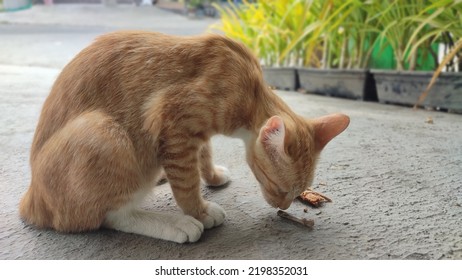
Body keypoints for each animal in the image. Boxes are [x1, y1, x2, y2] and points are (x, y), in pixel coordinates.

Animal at [19, 30, 350, 241]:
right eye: (278, 187)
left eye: (298, 193)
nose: (282, 207)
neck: (251, 89)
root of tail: (31, 201)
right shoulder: (175, 127)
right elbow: (187, 183)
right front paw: (199, 212)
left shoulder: (196, 134)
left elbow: (204, 155)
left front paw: (213, 176)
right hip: (104, 132)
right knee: (110, 216)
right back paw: (175, 224)